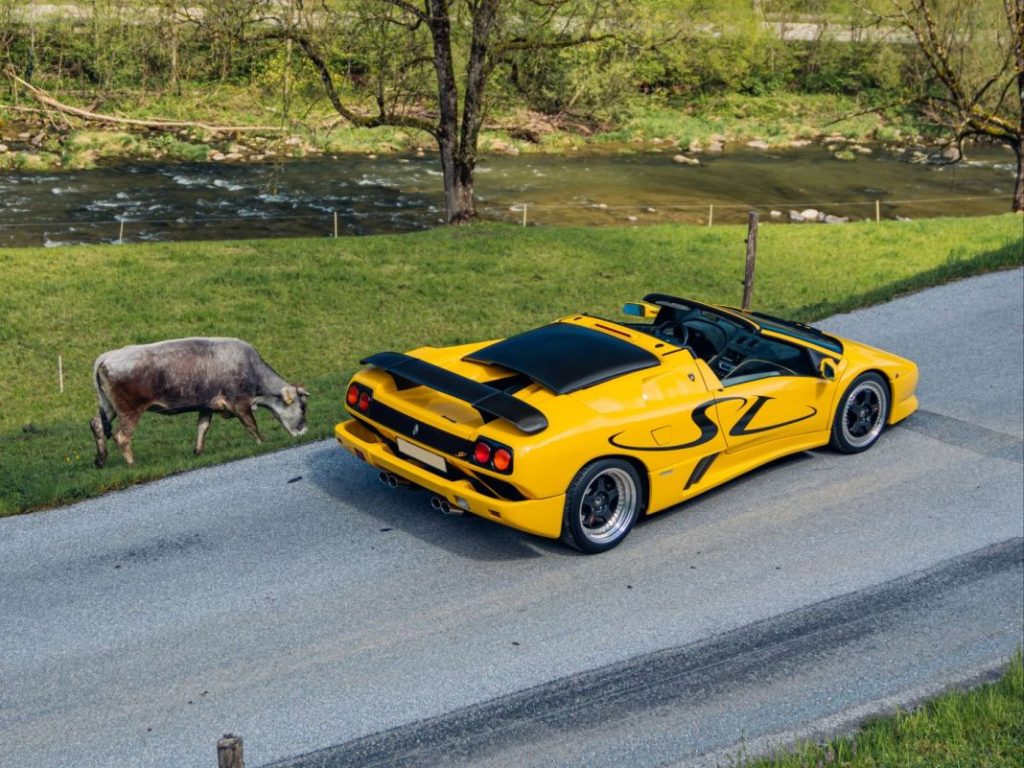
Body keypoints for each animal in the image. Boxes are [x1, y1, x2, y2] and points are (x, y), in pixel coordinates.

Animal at [91, 337, 307, 468]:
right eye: (303, 407)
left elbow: (203, 427)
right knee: (121, 437)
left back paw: (101, 459)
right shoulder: (239, 402)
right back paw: (131, 464)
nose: (304, 431)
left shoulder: (207, 405)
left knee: (97, 425)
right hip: (129, 410)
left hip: (108, 406)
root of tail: (107, 356)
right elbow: (251, 424)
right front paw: (261, 443)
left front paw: (198, 451)